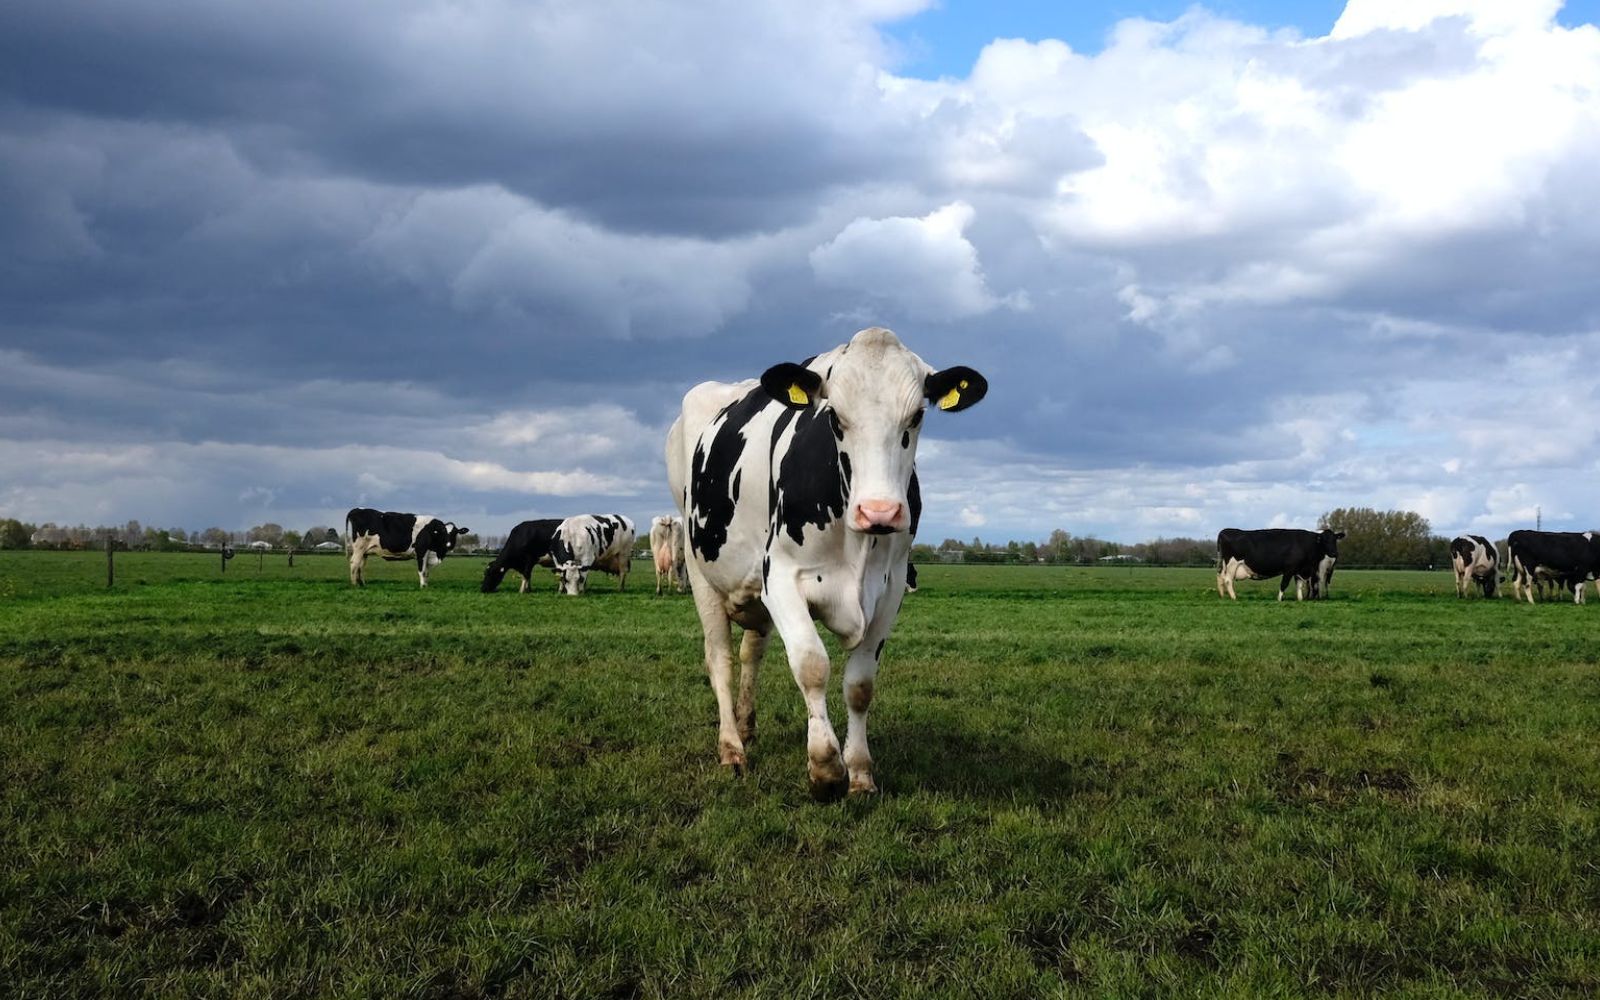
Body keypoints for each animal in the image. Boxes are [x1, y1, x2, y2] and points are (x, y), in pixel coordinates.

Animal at [662, 326, 985, 796]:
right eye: (835, 418)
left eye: (916, 417)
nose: (880, 511)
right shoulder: (779, 576)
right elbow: (812, 665)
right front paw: (826, 768)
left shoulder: (890, 589)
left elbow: (860, 685)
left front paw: (861, 771)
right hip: (699, 566)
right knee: (719, 658)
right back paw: (731, 747)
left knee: (750, 652)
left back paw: (746, 725)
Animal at [1216, 531, 1344, 601]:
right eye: (1324, 541)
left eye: (1335, 540)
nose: (1334, 553)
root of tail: (1225, 531)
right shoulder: (1289, 569)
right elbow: (1284, 584)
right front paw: (1279, 599)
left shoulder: (1299, 570)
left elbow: (1299, 585)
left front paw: (1300, 599)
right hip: (1232, 564)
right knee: (1228, 580)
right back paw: (1234, 598)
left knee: (1221, 578)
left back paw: (1222, 596)